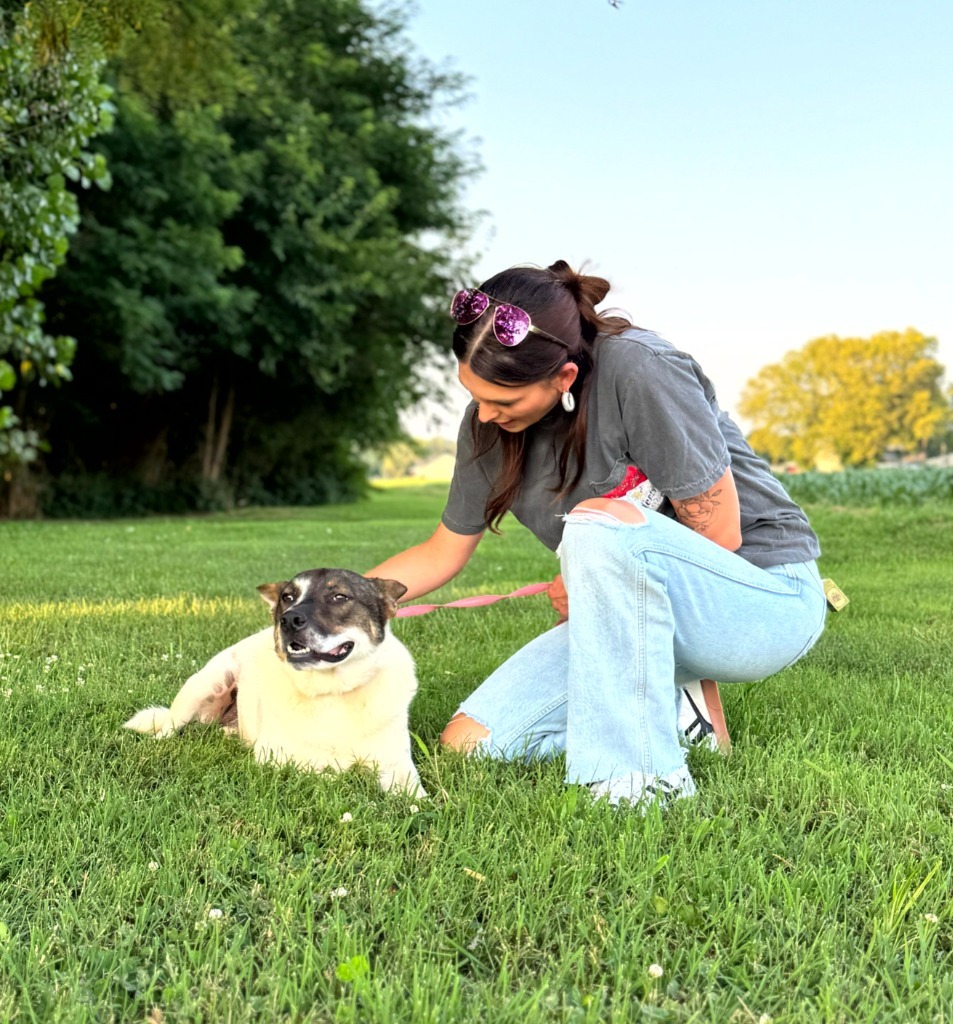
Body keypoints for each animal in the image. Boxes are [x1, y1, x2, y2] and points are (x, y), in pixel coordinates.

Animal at [123, 573, 425, 794]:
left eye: (340, 596)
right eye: (287, 597)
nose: (288, 618)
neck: (331, 691)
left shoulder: (398, 765)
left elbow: (413, 797)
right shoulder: (277, 760)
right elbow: (328, 772)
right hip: (205, 685)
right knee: (167, 728)